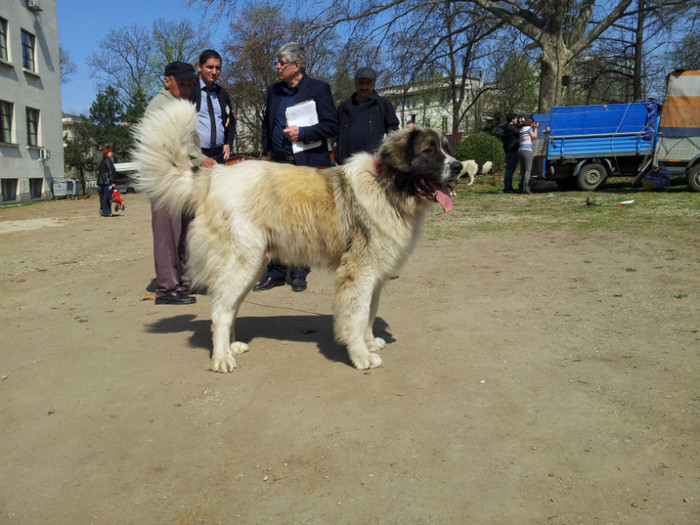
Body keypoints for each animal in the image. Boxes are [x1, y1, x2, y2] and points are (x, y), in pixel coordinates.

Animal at [134, 99, 468, 372]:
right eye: (428, 152)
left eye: (447, 149)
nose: (459, 167)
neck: (385, 186)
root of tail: (214, 176)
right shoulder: (359, 273)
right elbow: (357, 315)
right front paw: (360, 355)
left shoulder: (374, 276)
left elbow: (370, 313)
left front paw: (369, 341)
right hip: (243, 262)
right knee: (220, 311)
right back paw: (221, 358)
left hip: (251, 266)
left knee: (229, 307)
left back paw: (232, 347)